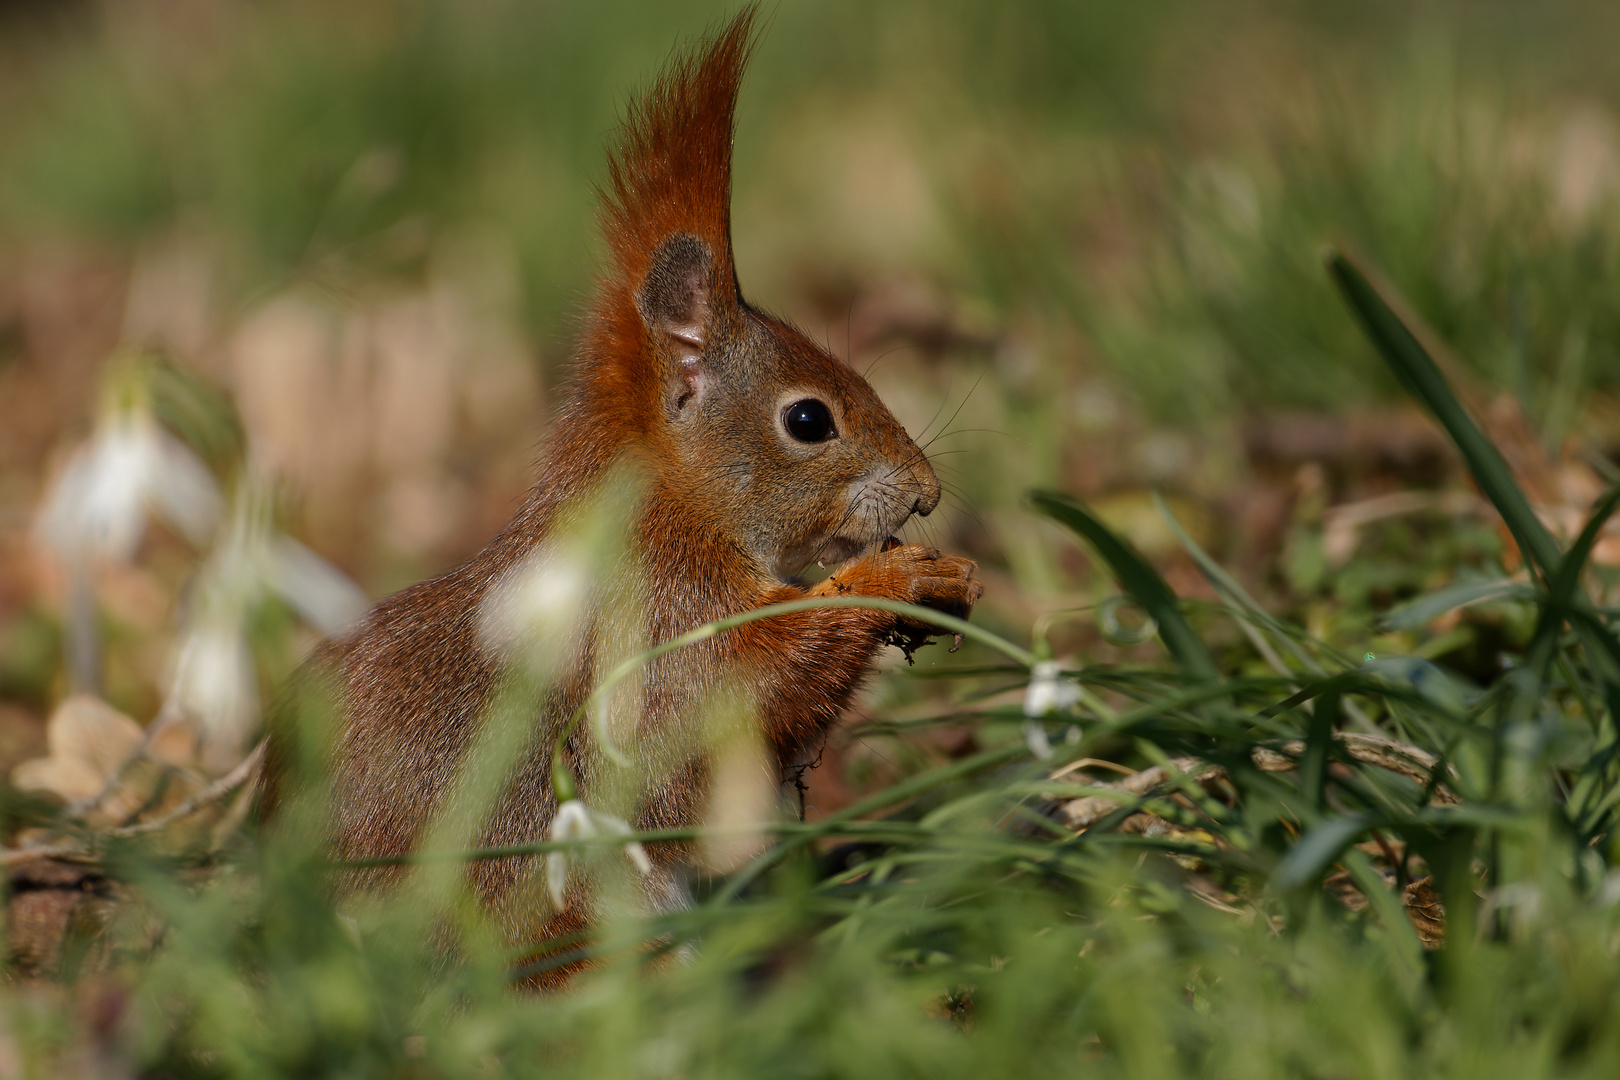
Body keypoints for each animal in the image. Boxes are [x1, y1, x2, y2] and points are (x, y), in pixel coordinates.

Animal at [268, 8, 972, 952]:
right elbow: (739, 700)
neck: (672, 511)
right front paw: (893, 579)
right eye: (809, 421)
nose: (927, 492)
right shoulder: (654, 628)